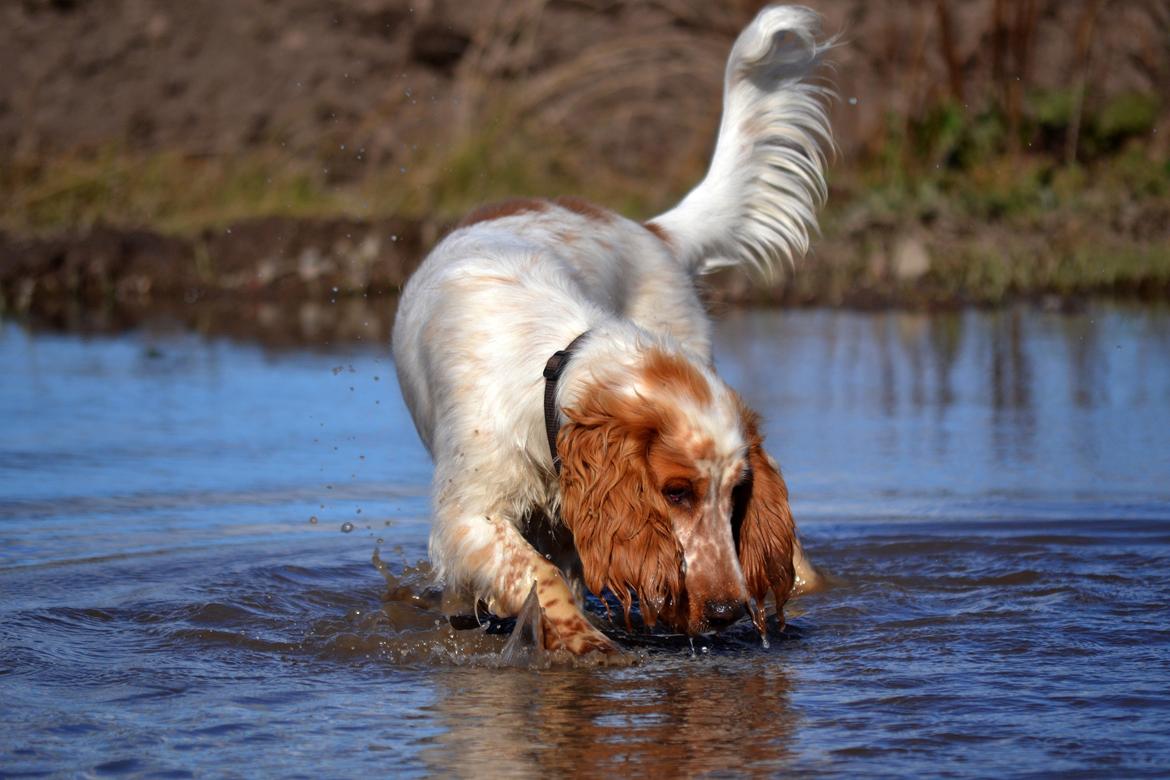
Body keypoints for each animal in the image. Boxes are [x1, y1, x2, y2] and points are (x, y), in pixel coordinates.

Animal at [393, 6, 833, 654]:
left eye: (736, 493)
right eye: (676, 492)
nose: (726, 610)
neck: (552, 369)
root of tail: (652, 230)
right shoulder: (468, 514)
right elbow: (537, 574)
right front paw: (587, 644)